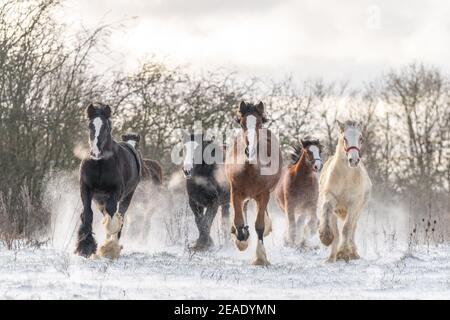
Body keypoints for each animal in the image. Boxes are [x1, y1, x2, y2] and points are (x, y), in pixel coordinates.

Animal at [75, 104, 142, 258]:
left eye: (105, 126)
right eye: (90, 125)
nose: (95, 153)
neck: (100, 163)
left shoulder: (116, 191)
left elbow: (112, 214)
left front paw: (108, 247)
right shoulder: (86, 189)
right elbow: (87, 214)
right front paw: (85, 247)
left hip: (127, 196)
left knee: (119, 215)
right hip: (99, 199)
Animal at [225, 102, 282, 264]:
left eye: (259, 124)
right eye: (242, 123)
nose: (249, 152)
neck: (250, 169)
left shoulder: (264, 194)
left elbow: (260, 225)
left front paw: (260, 258)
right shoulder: (235, 191)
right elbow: (238, 221)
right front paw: (242, 239)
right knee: (243, 208)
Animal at [318, 120, 370, 262]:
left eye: (361, 138)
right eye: (344, 138)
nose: (354, 160)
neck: (345, 176)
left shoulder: (354, 204)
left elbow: (347, 228)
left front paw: (343, 253)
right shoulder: (330, 197)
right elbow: (326, 210)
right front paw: (325, 238)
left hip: (359, 210)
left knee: (352, 227)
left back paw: (352, 253)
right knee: (337, 230)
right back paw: (332, 257)